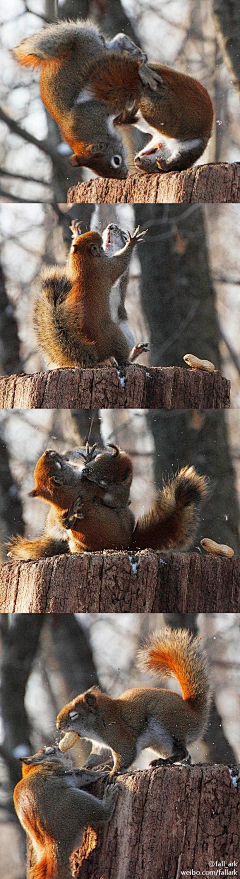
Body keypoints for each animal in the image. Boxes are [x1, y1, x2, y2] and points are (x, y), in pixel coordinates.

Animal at [7, 444, 206, 560]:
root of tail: (128, 544)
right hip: (126, 516)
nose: (48, 452)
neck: (64, 492)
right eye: (58, 465)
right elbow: (117, 498)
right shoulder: (93, 489)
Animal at [13, 744, 118, 879]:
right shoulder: (63, 771)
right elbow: (85, 774)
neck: (36, 766)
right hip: (77, 802)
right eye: (50, 751)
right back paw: (110, 796)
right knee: (104, 814)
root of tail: (54, 842)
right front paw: (102, 771)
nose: (58, 747)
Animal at [14, 20, 213, 175]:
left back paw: (139, 62)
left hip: (97, 55)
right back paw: (140, 63)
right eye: (115, 160)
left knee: (116, 45)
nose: (136, 164)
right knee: (119, 47)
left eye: (157, 169)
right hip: (97, 56)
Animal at [32, 223, 146, 372]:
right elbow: (121, 263)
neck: (83, 262)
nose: (111, 226)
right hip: (115, 336)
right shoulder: (106, 268)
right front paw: (132, 242)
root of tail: (94, 355)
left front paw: (76, 233)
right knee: (119, 356)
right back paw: (126, 361)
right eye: (100, 245)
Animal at [57, 628, 211, 772]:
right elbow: (98, 757)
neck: (99, 719)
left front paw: (112, 773)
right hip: (159, 744)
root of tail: (195, 714)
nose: (58, 726)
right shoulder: (102, 747)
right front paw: (85, 767)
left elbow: (126, 753)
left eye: (74, 715)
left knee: (182, 752)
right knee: (187, 756)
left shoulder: (118, 733)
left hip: (168, 727)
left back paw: (163, 761)